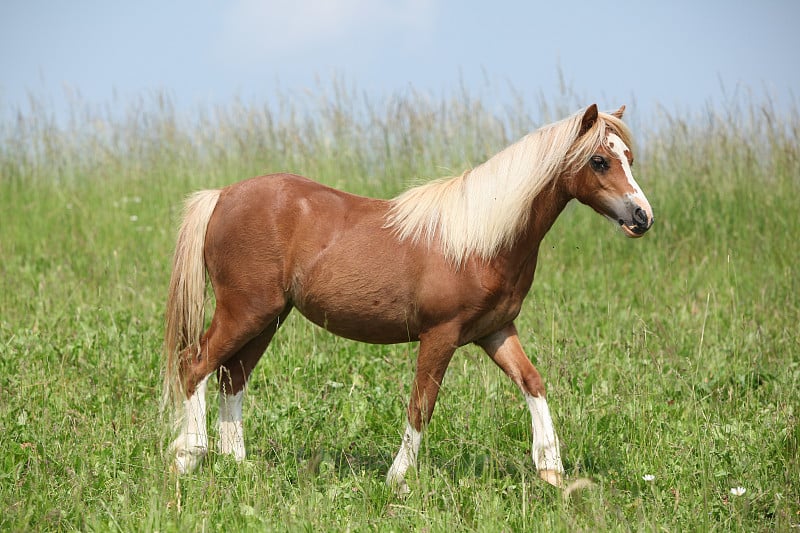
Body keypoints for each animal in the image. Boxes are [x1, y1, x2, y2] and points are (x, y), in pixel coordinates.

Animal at [161, 103, 648, 490]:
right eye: (599, 160)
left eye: (627, 157)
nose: (643, 216)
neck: (481, 239)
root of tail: (222, 195)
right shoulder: (440, 335)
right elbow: (421, 405)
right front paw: (398, 478)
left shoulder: (495, 332)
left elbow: (533, 383)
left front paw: (551, 468)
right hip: (245, 312)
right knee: (194, 365)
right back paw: (189, 456)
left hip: (267, 318)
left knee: (231, 377)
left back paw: (237, 465)